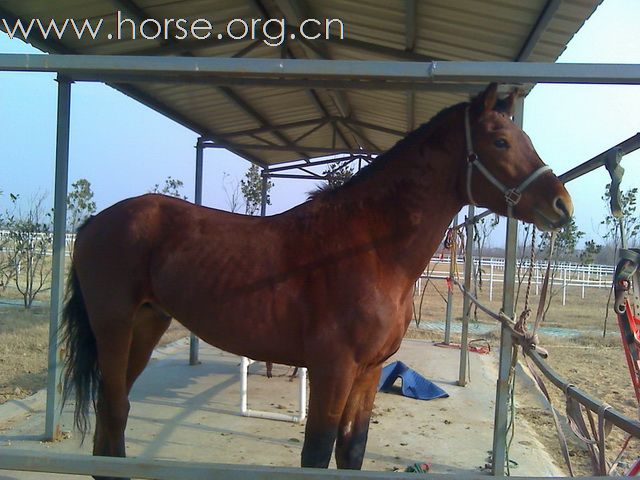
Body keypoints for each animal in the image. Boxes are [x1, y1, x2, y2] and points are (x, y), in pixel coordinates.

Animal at [60, 84, 568, 478]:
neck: (368, 249)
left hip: (147, 326)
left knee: (115, 412)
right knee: (114, 408)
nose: (562, 205)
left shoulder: (367, 372)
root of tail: (92, 223)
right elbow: (317, 453)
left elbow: (351, 451)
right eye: (500, 141)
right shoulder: (333, 369)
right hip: (114, 327)